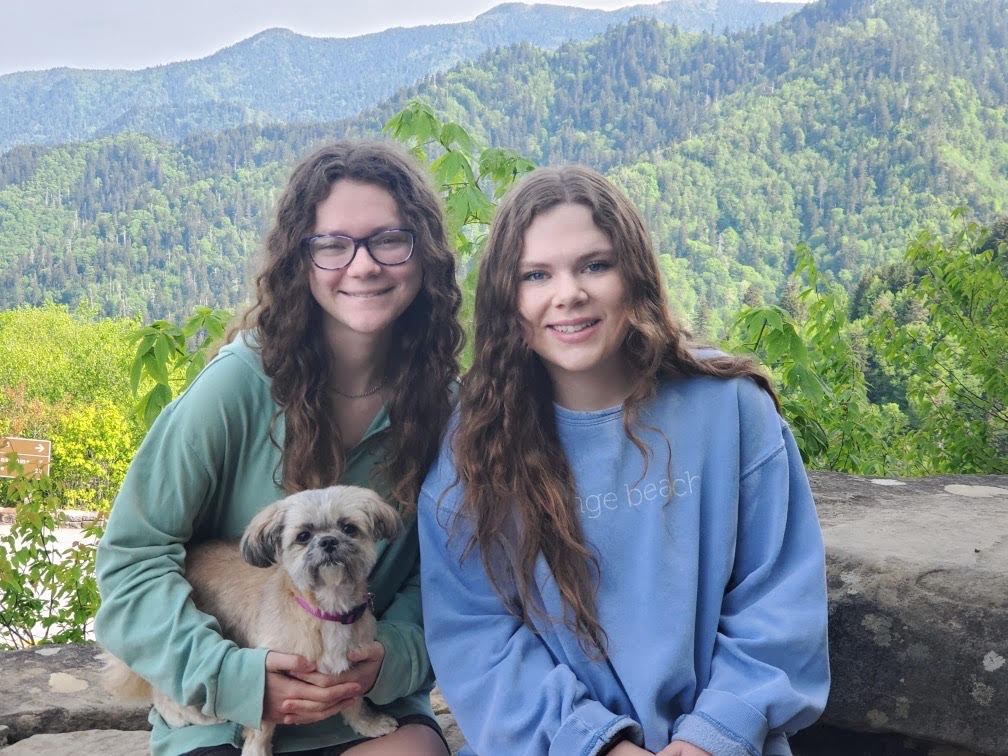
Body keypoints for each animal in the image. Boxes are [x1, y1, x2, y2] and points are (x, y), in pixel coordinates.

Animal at [102, 485, 401, 756]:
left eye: (349, 528)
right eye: (303, 536)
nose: (328, 541)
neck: (325, 611)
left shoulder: (352, 670)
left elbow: (355, 700)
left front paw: (368, 724)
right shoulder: (271, 680)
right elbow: (262, 726)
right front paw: (256, 750)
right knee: (165, 685)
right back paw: (189, 716)